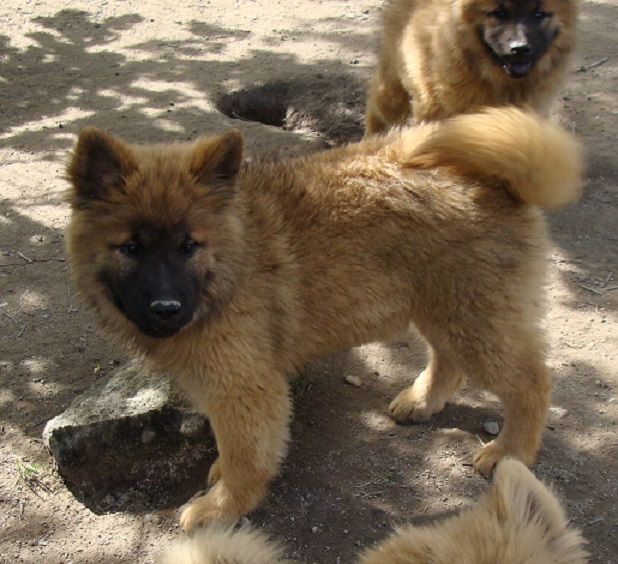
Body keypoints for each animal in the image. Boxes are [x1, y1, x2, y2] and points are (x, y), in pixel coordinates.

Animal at [66, 107, 582, 531]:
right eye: (131, 247)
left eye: (189, 245)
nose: (166, 308)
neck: (235, 259)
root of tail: (489, 177)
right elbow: (231, 446)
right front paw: (219, 477)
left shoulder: (244, 384)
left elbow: (246, 455)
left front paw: (222, 506)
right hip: (444, 308)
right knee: (449, 362)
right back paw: (422, 401)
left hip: (474, 318)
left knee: (530, 383)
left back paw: (510, 451)